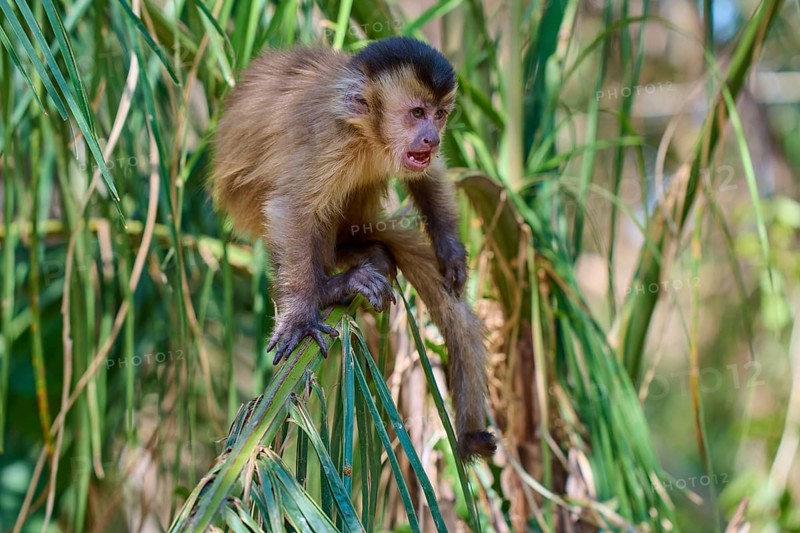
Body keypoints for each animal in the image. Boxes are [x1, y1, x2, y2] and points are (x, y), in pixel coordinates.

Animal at [210, 36, 496, 460]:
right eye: (417, 113)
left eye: (440, 114)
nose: (433, 136)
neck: (368, 133)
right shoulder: (330, 138)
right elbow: (291, 208)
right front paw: (301, 315)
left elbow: (429, 174)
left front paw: (451, 251)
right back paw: (338, 280)